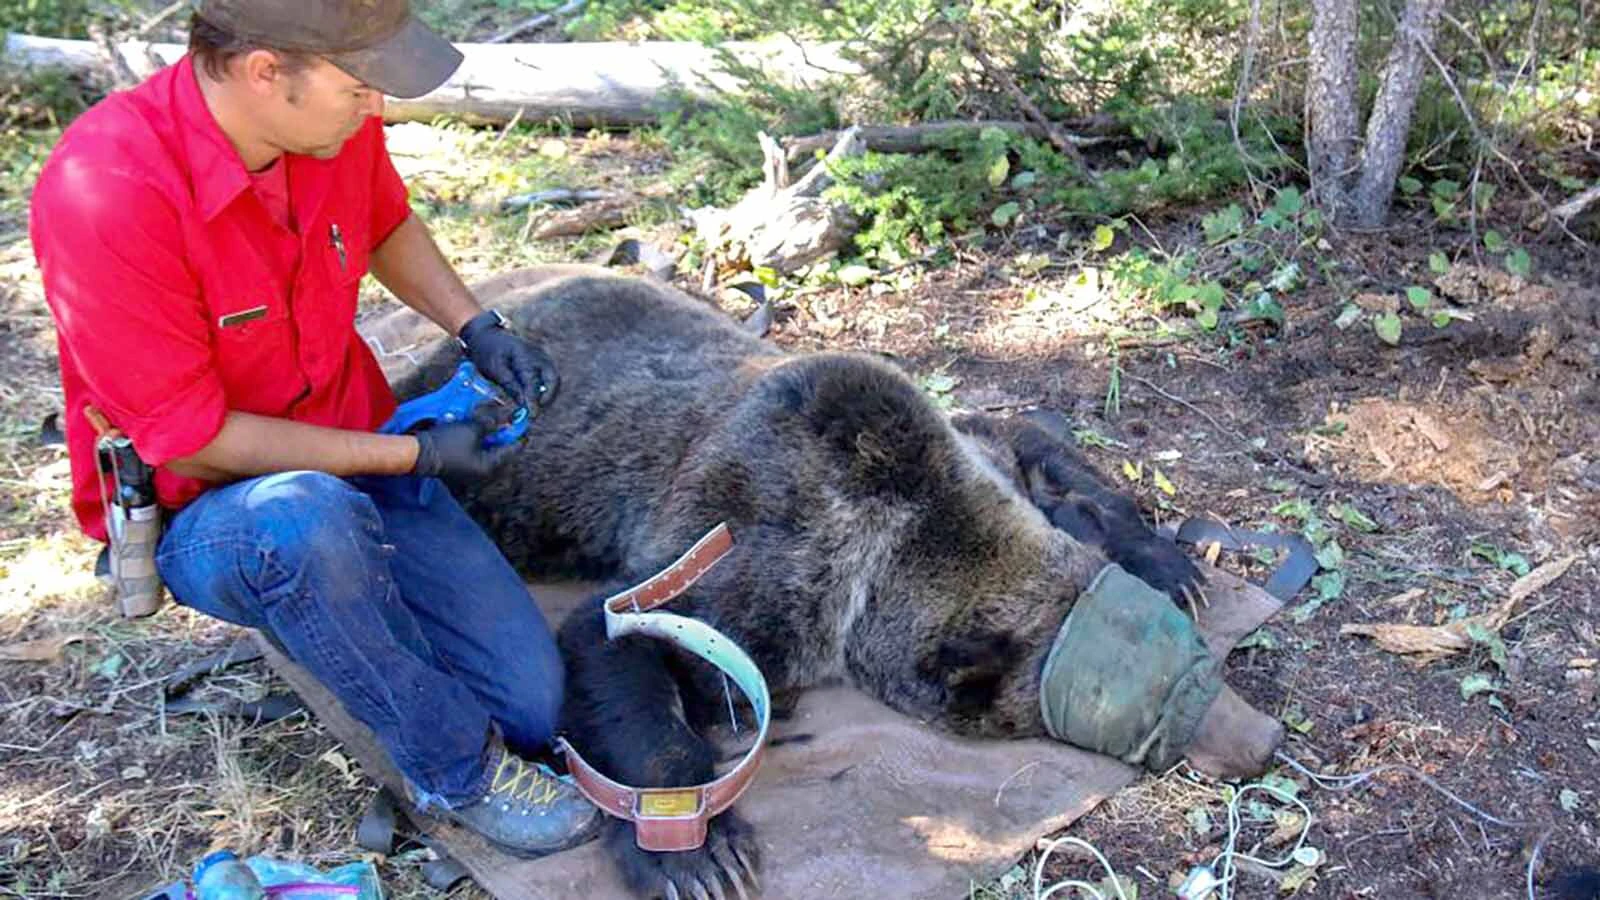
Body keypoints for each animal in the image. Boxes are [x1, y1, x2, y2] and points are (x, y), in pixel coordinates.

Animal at [398, 267, 1281, 899]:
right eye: (1147, 707)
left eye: (1190, 657)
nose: (1261, 739)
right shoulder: (760, 559)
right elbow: (616, 637)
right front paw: (699, 855)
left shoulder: (969, 452)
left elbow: (1035, 444)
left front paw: (1168, 563)